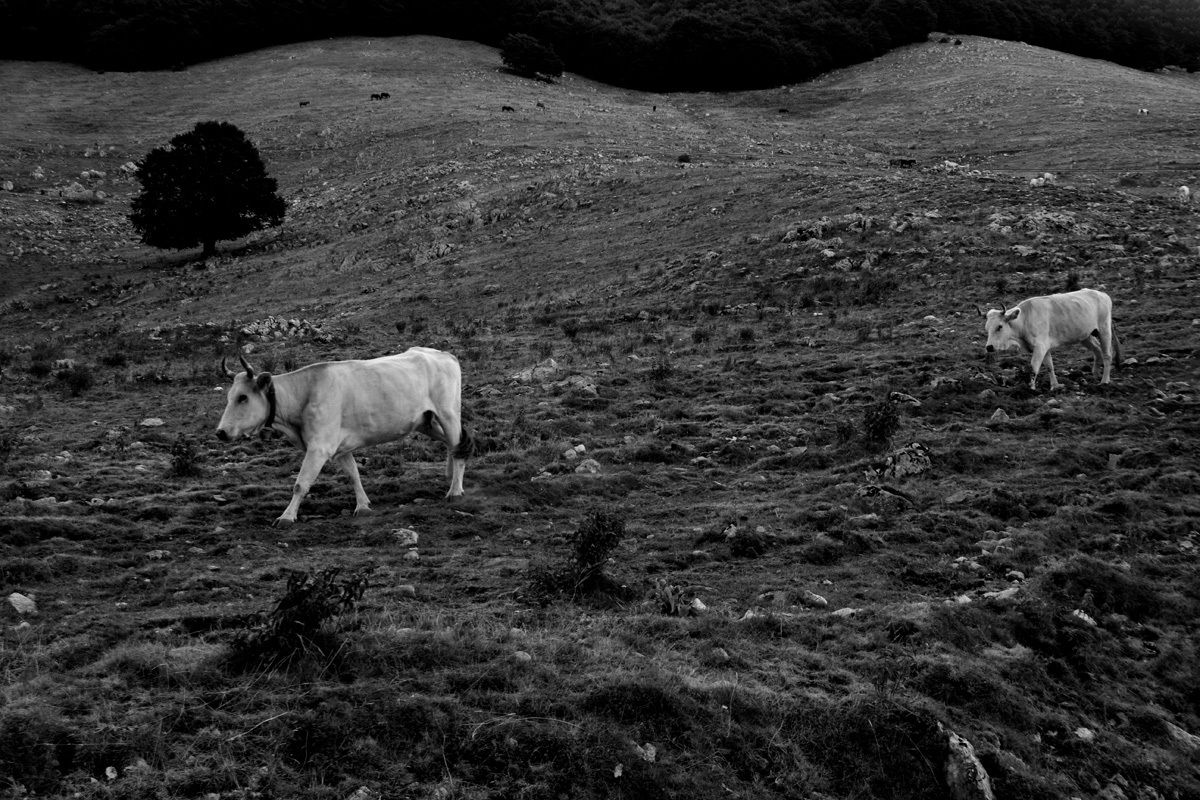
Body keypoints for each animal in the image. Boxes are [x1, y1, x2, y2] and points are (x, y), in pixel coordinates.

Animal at [216, 347, 472, 526]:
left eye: (243, 397)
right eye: (229, 396)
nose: (221, 432)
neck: (305, 393)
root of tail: (444, 354)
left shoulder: (319, 447)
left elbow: (300, 484)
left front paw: (286, 517)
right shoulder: (340, 448)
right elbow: (353, 475)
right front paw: (363, 506)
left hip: (448, 414)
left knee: (458, 448)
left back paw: (455, 491)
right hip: (425, 421)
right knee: (453, 445)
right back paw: (451, 477)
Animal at [980, 288, 1120, 391]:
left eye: (999, 326)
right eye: (986, 328)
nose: (989, 347)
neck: (1024, 320)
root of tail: (1102, 294)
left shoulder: (1040, 347)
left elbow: (1034, 367)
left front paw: (1030, 388)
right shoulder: (1044, 347)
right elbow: (1049, 366)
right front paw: (1055, 386)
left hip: (1104, 330)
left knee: (1107, 355)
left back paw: (1104, 381)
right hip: (1085, 335)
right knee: (1097, 350)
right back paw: (1095, 374)